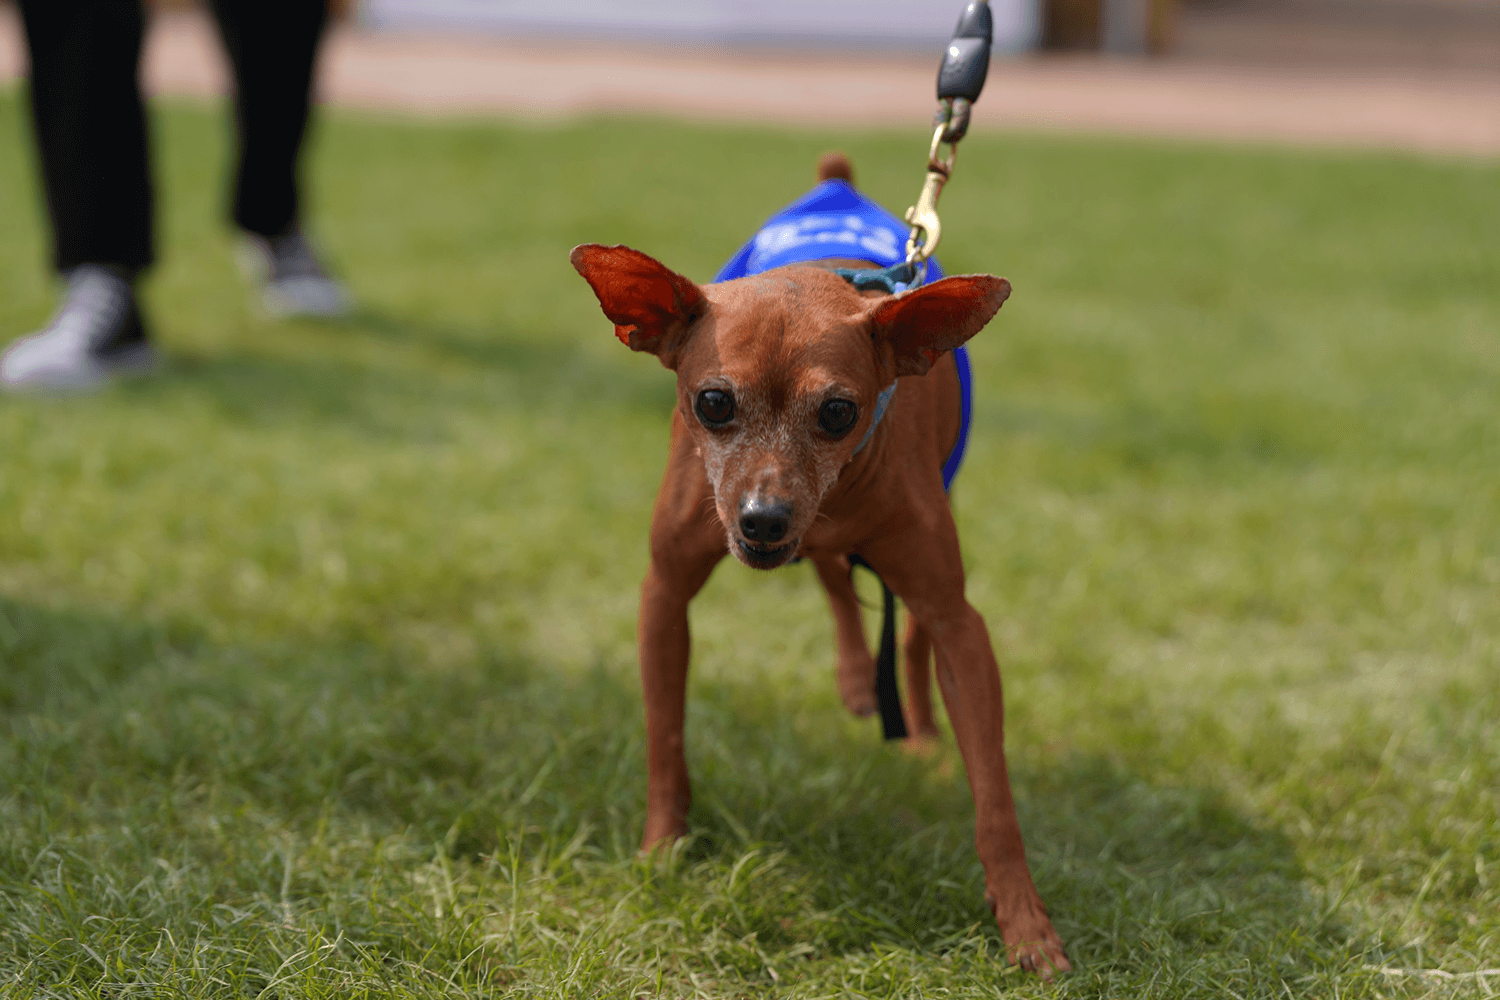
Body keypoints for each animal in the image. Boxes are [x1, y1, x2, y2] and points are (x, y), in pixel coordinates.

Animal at [570, 167, 1068, 971]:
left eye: (840, 412)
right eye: (713, 402)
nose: (764, 520)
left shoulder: (958, 619)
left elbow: (993, 796)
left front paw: (1024, 922)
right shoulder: (665, 593)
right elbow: (665, 739)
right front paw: (662, 849)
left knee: (903, 632)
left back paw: (919, 736)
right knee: (835, 584)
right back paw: (856, 679)